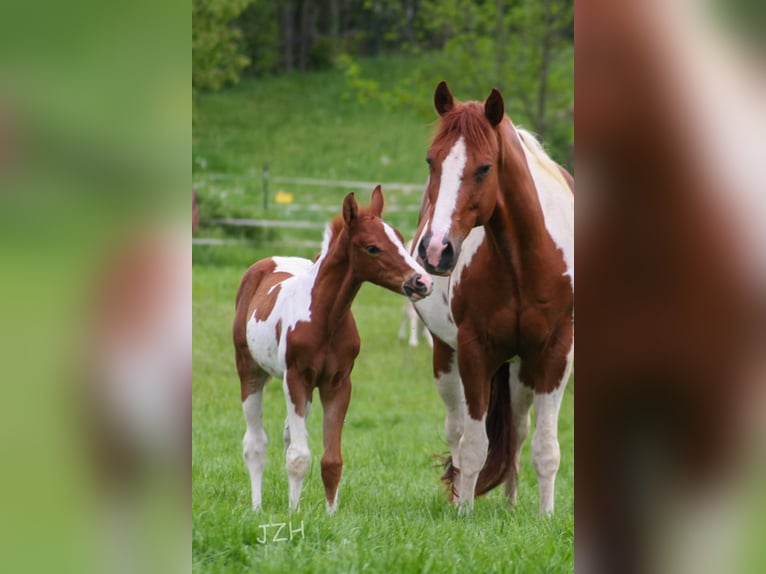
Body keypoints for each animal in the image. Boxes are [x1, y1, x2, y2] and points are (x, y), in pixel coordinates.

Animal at [233, 186, 432, 513]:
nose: (423, 281)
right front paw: (294, 515)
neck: (326, 318)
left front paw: (329, 515)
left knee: (287, 435)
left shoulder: (337, 383)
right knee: (255, 443)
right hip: (250, 370)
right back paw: (257, 507)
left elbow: (331, 460)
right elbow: (299, 456)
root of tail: (268, 261)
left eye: (400, 238)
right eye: (372, 247)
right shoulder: (296, 379)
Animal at [412, 82, 574, 515]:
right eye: (432, 161)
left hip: (520, 366)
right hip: (446, 358)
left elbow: (546, 449)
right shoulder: (473, 350)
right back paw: (459, 498)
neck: (522, 261)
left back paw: (513, 504)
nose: (436, 251)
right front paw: (464, 514)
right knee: (456, 432)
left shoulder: (555, 353)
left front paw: (546, 516)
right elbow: (473, 447)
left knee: (517, 431)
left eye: (484, 168)